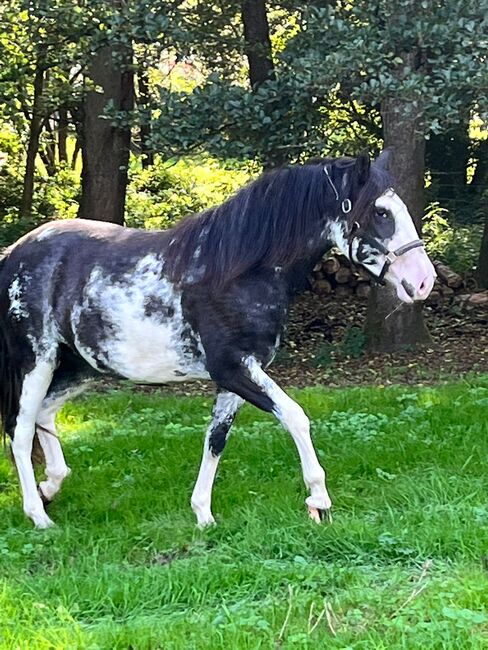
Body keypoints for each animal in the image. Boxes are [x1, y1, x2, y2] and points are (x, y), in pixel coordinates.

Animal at [0, 152, 434, 528]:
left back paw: (50, 487)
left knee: (43, 416)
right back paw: (38, 515)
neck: (236, 272)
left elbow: (216, 439)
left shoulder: (235, 378)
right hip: (38, 362)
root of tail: (14, 254)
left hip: (82, 367)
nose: (424, 282)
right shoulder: (234, 369)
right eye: (380, 213)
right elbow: (296, 416)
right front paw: (318, 500)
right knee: (20, 429)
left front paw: (203, 515)